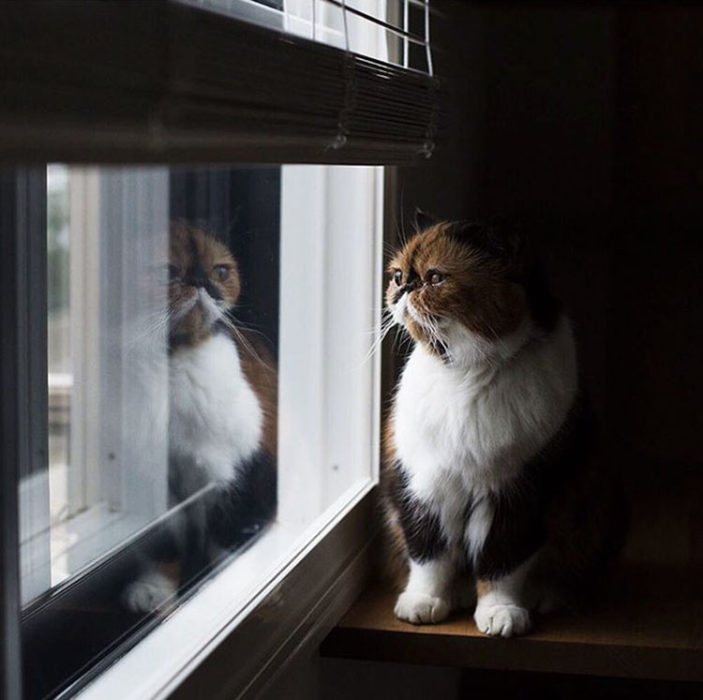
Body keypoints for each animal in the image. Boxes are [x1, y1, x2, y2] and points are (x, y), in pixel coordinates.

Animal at [122, 223, 276, 612]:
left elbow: (229, 534)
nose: (203, 282)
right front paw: (154, 589)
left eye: (220, 271)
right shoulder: (150, 483)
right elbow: (160, 545)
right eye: (167, 272)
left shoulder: (236, 470)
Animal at [384, 213, 628, 636]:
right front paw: (423, 602)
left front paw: (501, 612)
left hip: (597, 501)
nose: (404, 289)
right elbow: (429, 554)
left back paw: (542, 596)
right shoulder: (424, 485)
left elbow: (502, 562)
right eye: (398, 275)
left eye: (435, 278)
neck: (467, 376)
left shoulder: (519, 492)